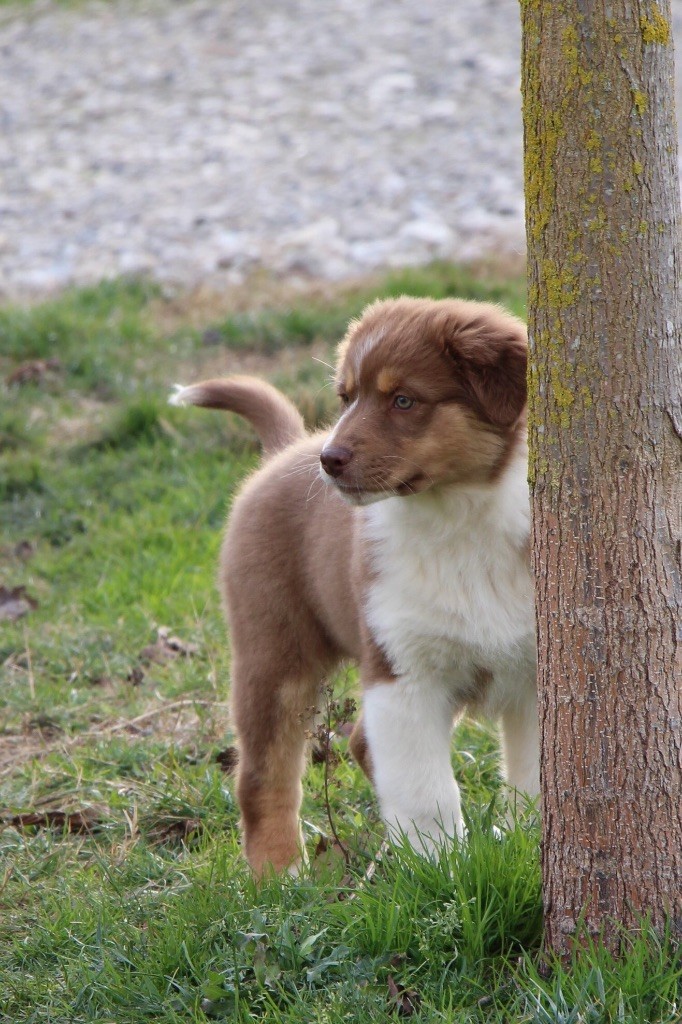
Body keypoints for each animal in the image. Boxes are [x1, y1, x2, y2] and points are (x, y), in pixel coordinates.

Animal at [169, 296, 536, 872]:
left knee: (361, 741)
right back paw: (279, 874)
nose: (330, 460)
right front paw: (441, 870)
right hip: (274, 653)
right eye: (346, 397)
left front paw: (525, 841)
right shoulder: (402, 669)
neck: (459, 517)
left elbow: (534, 779)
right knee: (263, 775)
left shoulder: (536, 668)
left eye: (403, 400)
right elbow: (426, 793)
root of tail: (288, 449)